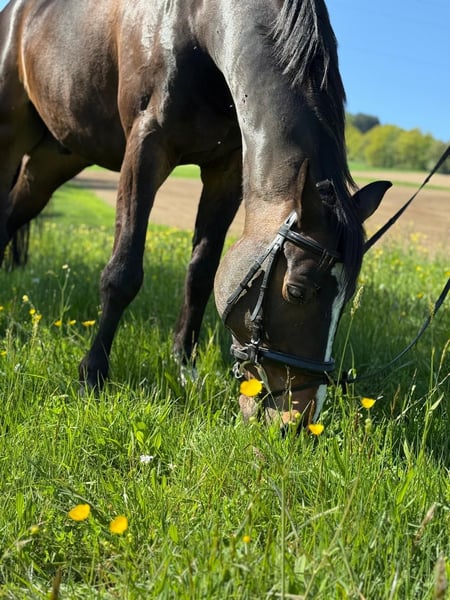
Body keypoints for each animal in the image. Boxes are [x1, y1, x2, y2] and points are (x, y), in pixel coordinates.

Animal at [0, 0, 390, 426]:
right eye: (298, 291)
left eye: (347, 296)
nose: (300, 419)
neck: (196, 23)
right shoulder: (146, 148)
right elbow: (123, 274)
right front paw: (93, 374)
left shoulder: (226, 171)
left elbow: (201, 274)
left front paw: (184, 366)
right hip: (12, 134)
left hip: (55, 158)